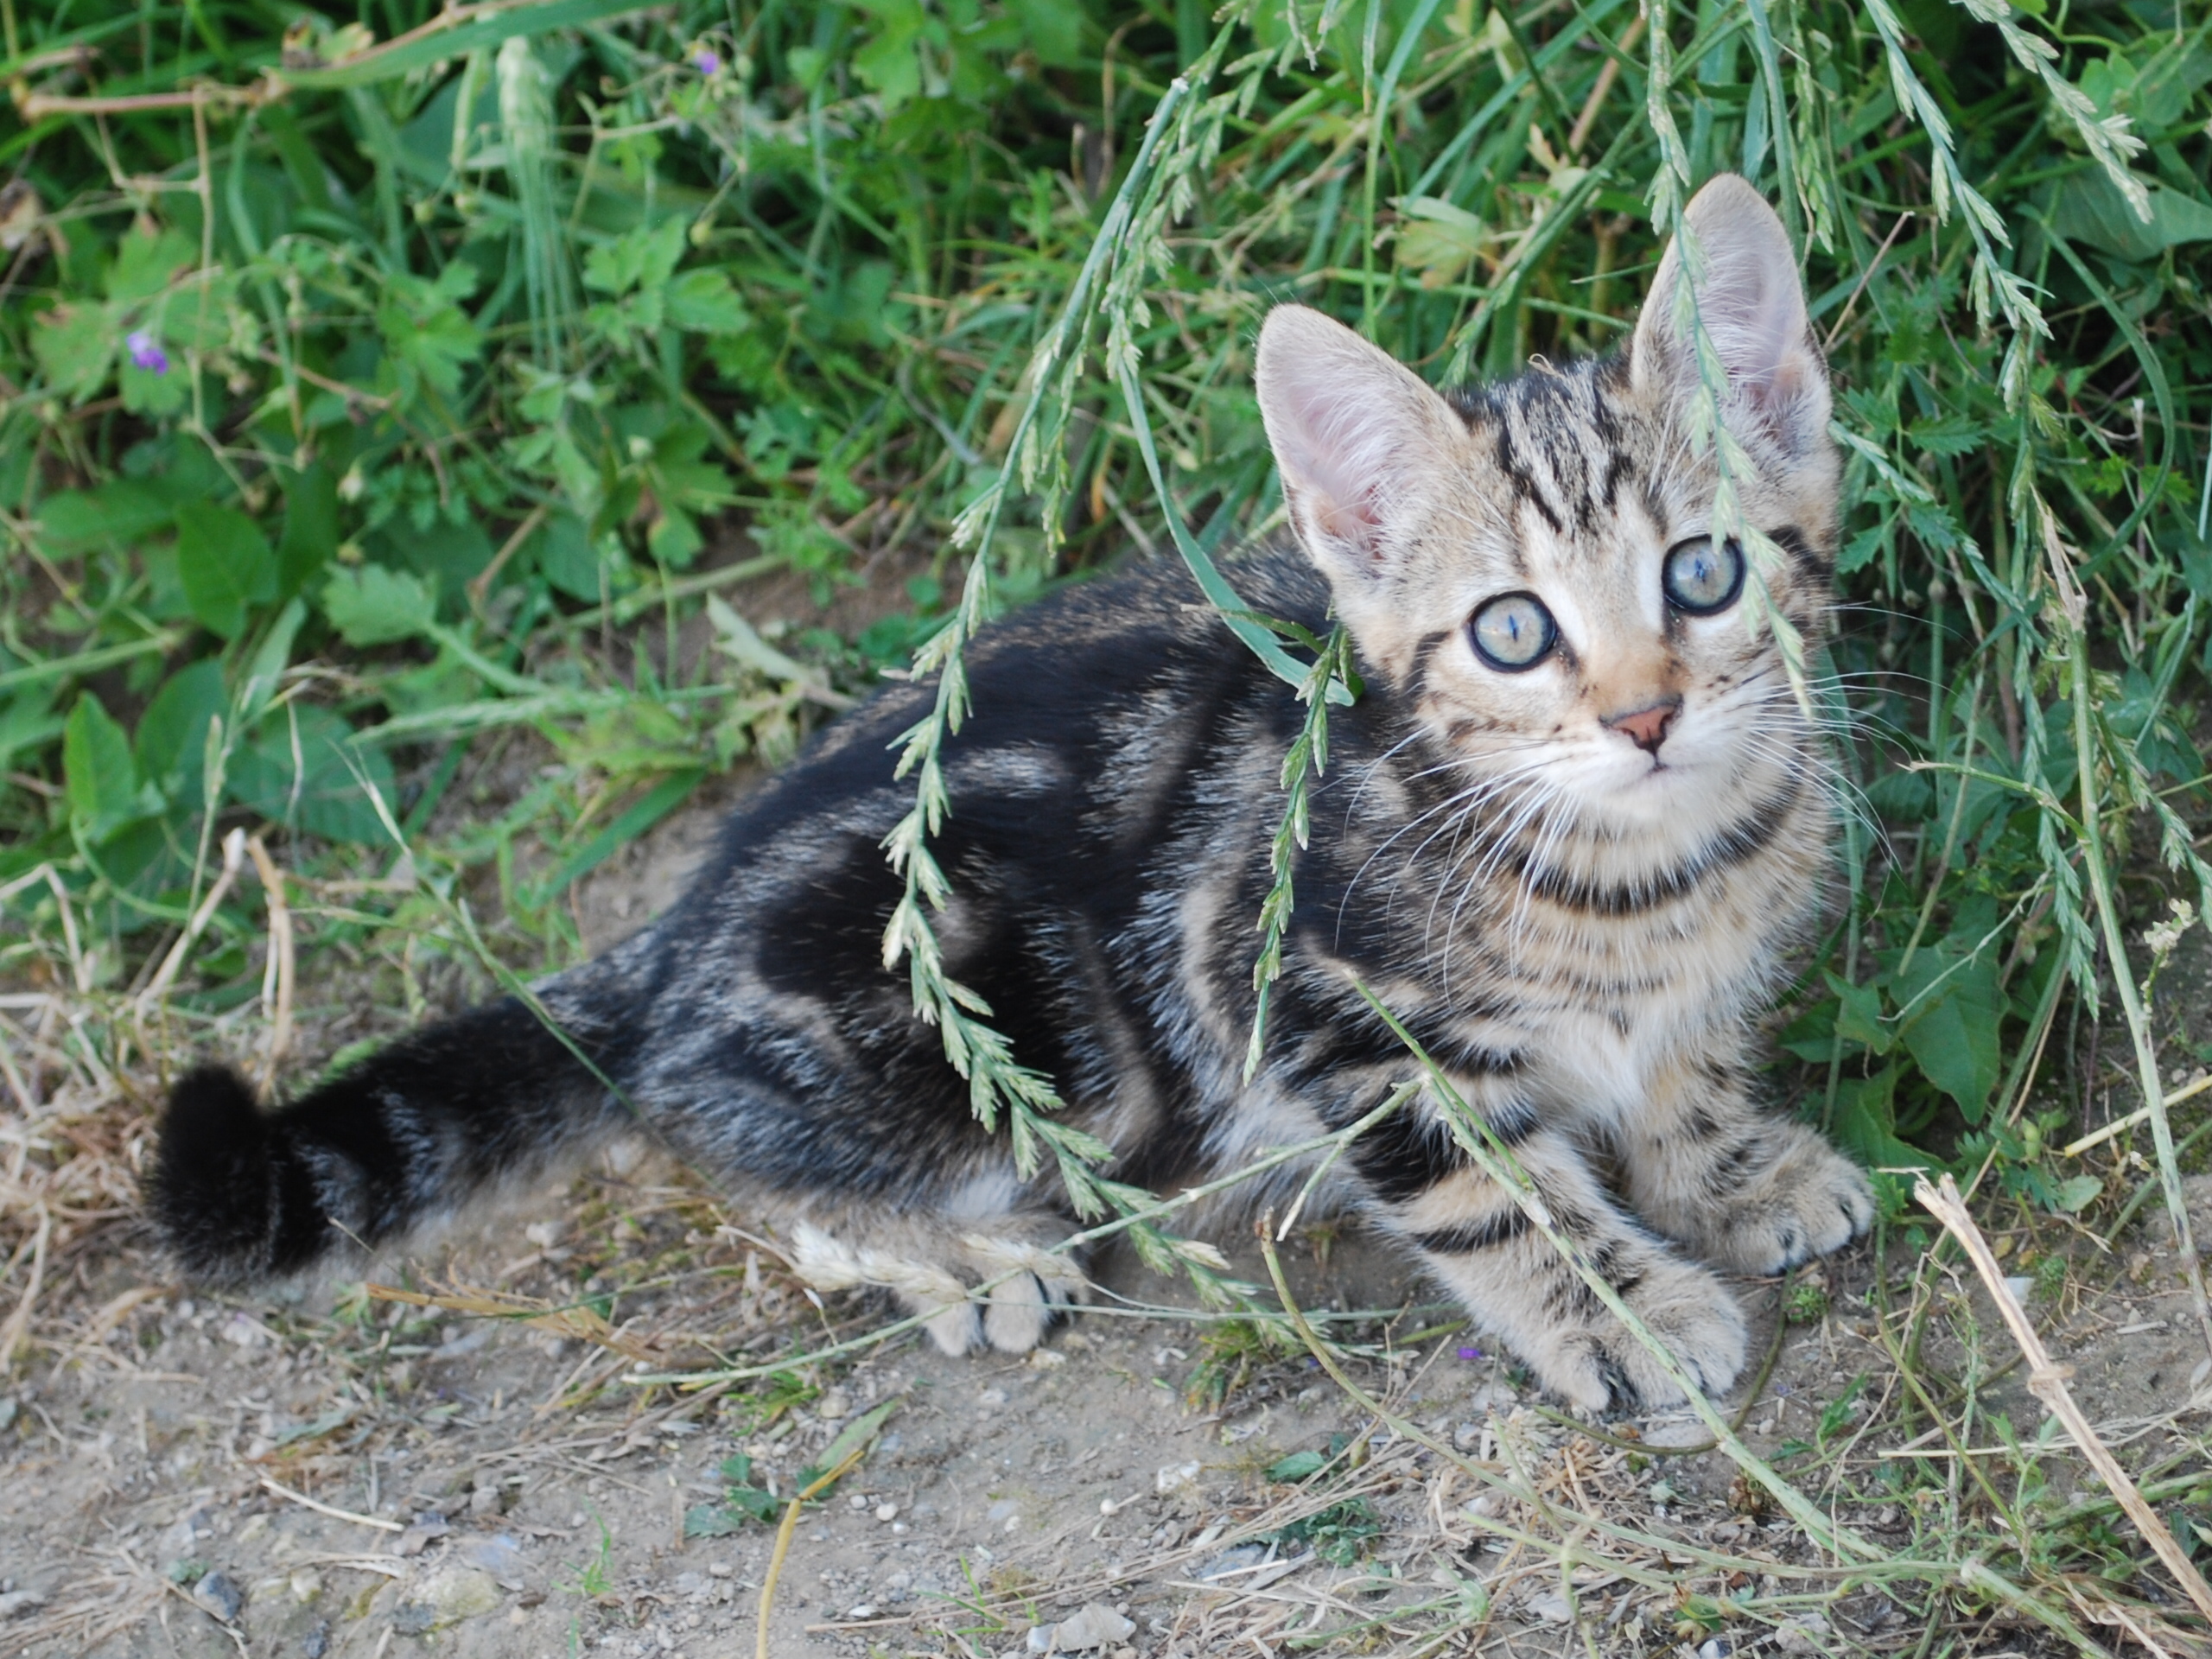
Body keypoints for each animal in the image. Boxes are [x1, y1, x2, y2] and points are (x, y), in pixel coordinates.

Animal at [151, 172, 1866, 1415]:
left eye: (1702, 573)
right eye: (1514, 632)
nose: (1645, 714)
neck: (1645, 872)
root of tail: (679, 936)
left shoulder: (1690, 987)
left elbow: (1686, 1072)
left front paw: (1735, 1170)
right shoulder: (1332, 1016)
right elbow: (1500, 1196)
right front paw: (1625, 1310)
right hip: (1004, 1040)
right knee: (723, 1146)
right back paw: (960, 1254)